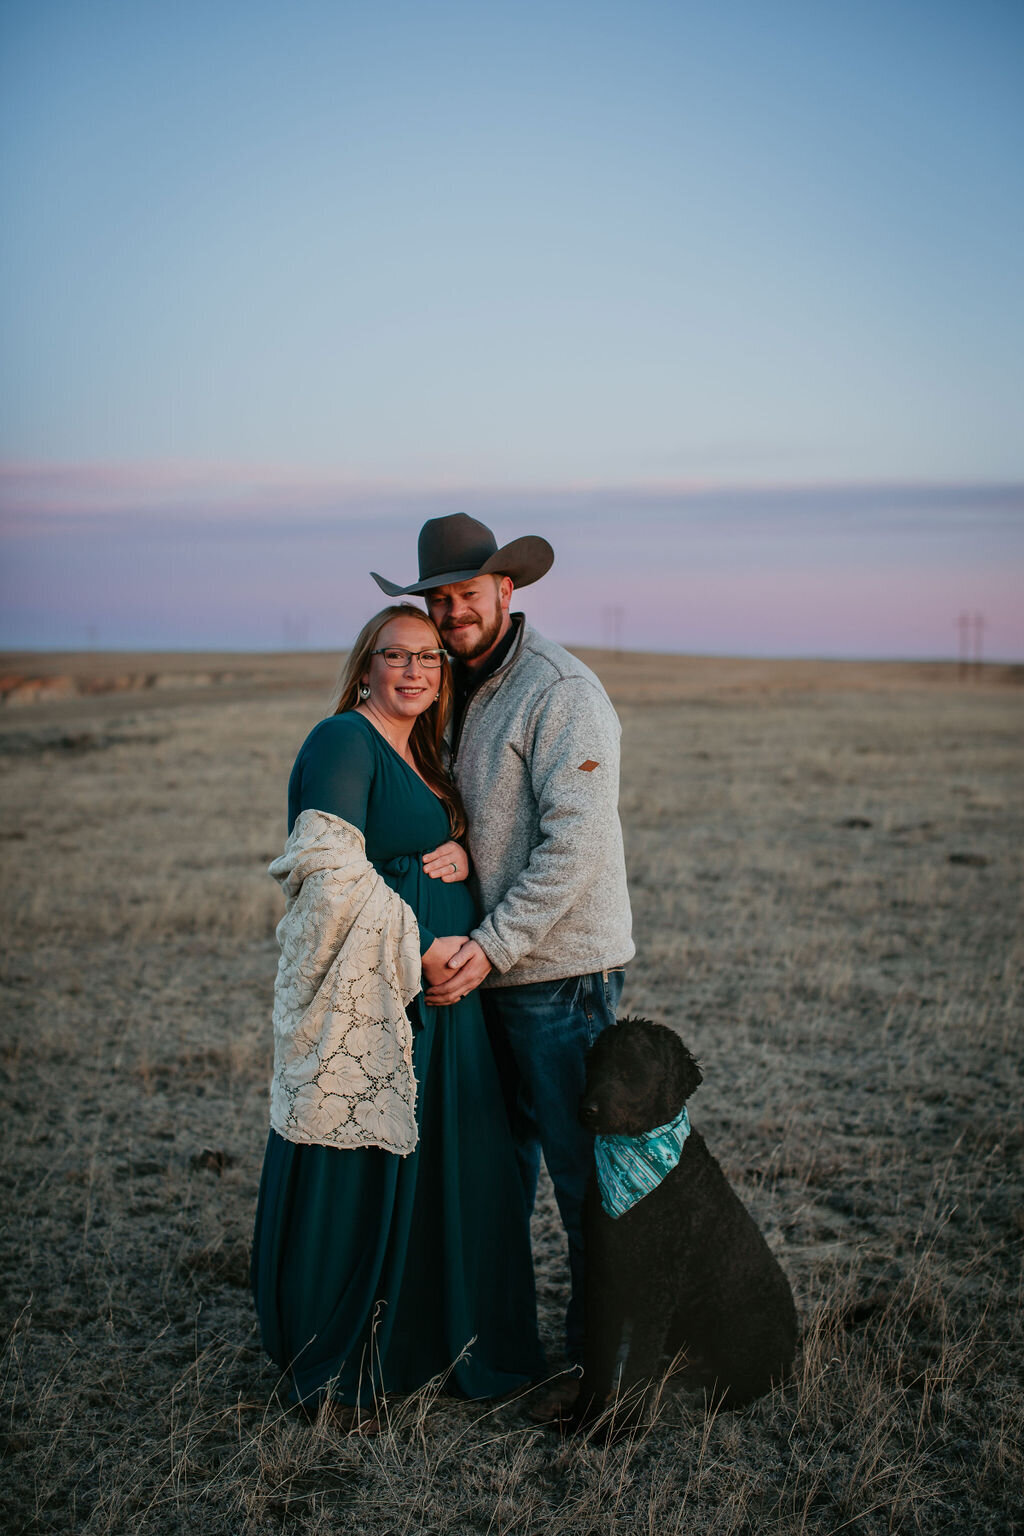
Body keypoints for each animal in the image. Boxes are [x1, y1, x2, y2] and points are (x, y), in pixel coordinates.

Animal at [568, 1013, 798, 1431]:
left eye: (631, 1071)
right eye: (594, 1066)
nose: (587, 1110)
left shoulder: (657, 1286)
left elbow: (638, 1365)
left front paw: (622, 1428)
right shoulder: (604, 1273)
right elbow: (598, 1354)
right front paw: (583, 1415)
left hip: (741, 1332)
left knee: (763, 1381)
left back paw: (719, 1402)